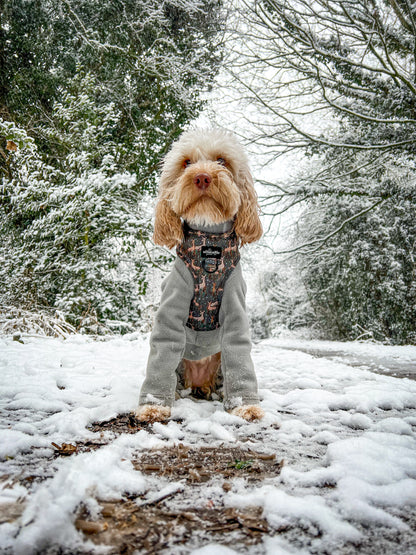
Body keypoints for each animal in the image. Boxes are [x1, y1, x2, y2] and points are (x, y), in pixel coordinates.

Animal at [138, 128, 264, 424]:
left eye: (221, 161)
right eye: (186, 163)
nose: (202, 177)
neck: (209, 244)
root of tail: (198, 383)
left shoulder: (235, 303)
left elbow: (238, 350)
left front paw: (245, 406)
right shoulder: (173, 301)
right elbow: (163, 346)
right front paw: (153, 406)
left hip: (218, 366)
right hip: (181, 367)